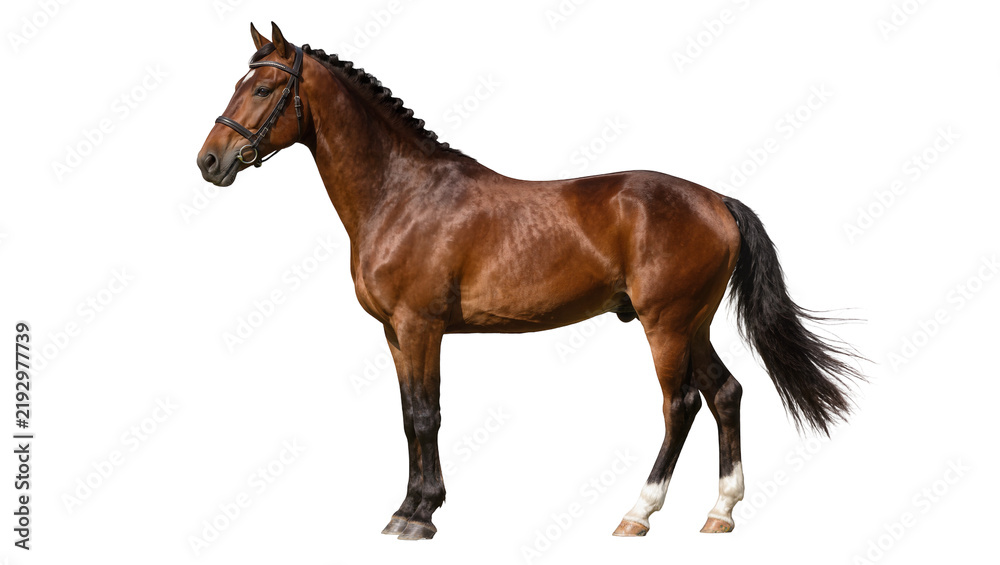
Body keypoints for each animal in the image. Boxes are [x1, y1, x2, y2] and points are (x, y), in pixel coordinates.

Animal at [197, 22, 864, 540]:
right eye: (239, 84)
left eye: (263, 88)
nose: (209, 161)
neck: (402, 193)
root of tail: (716, 201)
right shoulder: (395, 334)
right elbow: (408, 413)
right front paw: (409, 507)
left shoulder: (421, 327)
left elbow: (427, 415)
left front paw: (420, 516)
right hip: (692, 324)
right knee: (726, 393)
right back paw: (720, 513)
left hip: (667, 325)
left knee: (681, 404)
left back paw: (638, 513)